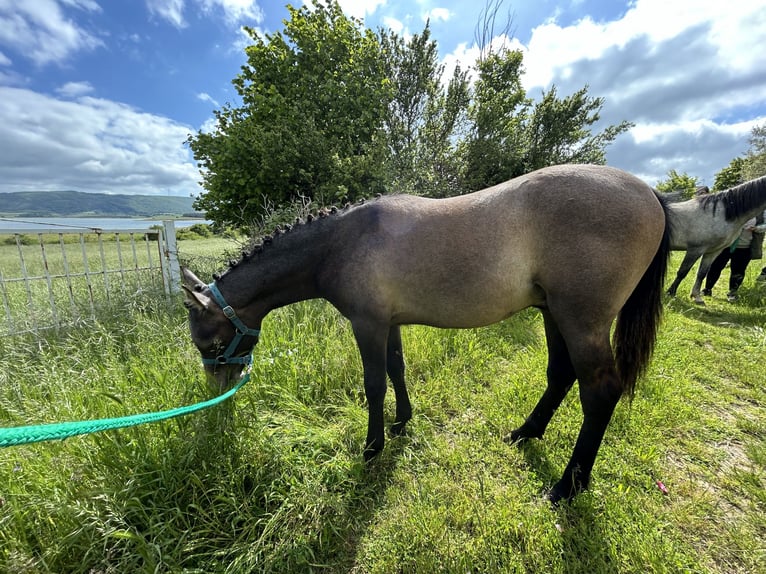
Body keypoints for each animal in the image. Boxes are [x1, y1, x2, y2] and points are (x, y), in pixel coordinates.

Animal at [184, 163, 672, 504]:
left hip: (581, 321)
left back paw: (569, 486)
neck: (340, 242)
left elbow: (375, 383)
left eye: (210, 343)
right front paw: (402, 422)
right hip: (554, 314)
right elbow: (397, 371)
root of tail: (650, 192)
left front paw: (373, 447)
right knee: (560, 374)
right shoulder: (390, 323)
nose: (218, 401)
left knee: (600, 391)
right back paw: (526, 432)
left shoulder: (368, 324)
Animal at [664, 177, 766, 306]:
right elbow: (683, 271)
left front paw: (696, 296)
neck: (721, 213)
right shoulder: (695, 249)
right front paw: (670, 293)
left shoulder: (713, 251)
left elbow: (702, 273)